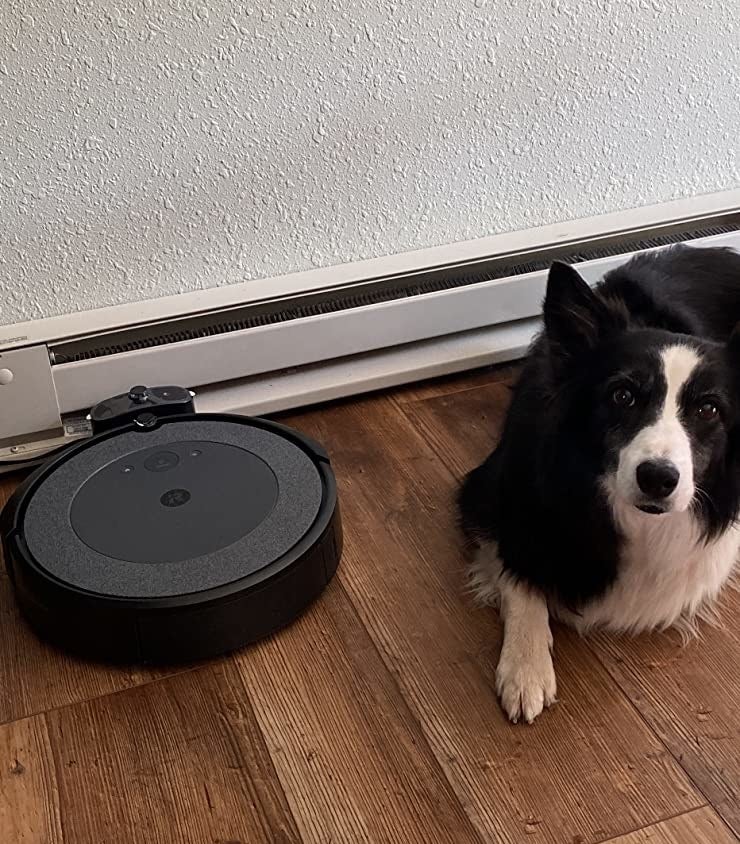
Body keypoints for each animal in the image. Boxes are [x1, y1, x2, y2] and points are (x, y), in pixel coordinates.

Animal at [456, 246, 740, 724]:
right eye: (622, 395)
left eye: (709, 409)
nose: (658, 479)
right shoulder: (489, 497)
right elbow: (521, 572)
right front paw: (525, 667)